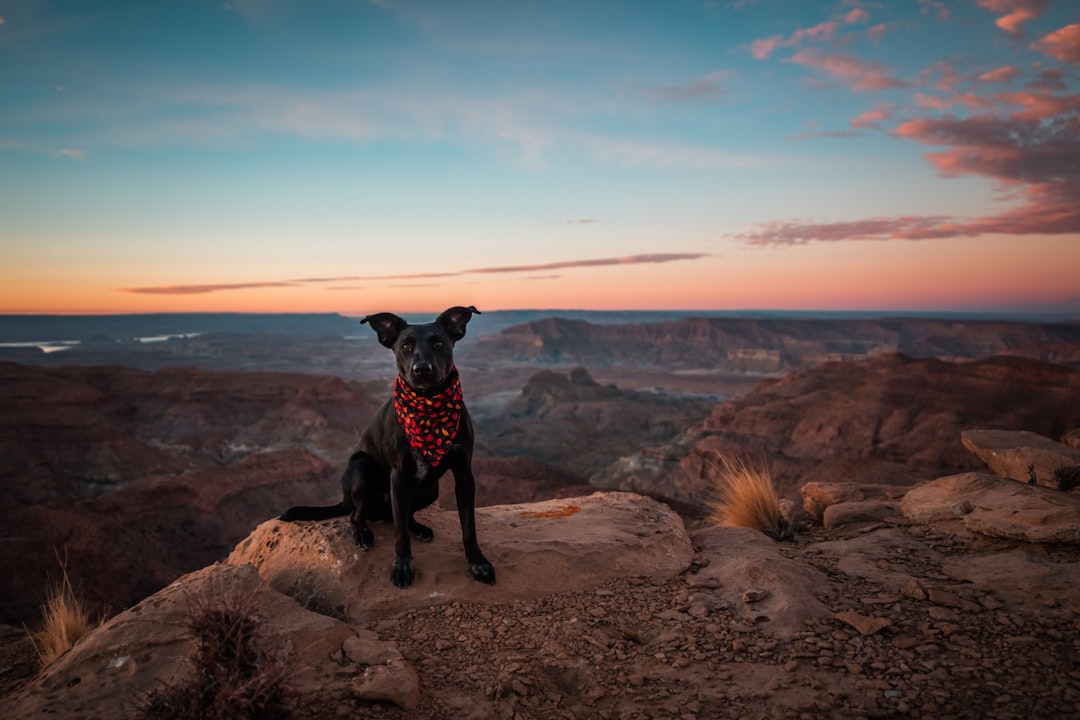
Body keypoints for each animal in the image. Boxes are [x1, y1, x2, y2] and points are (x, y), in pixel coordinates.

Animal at [280, 306, 494, 587]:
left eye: (439, 343)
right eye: (405, 346)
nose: (421, 369)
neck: (428, 407)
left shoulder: (464, 475)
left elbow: (468, 526)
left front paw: (478, 562)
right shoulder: (399, 476)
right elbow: (399, 535)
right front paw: (402, 567)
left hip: (431, 489)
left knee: (398, 516)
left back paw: (418, 527)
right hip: (361, 470)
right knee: (358, 515)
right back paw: (362, 532)